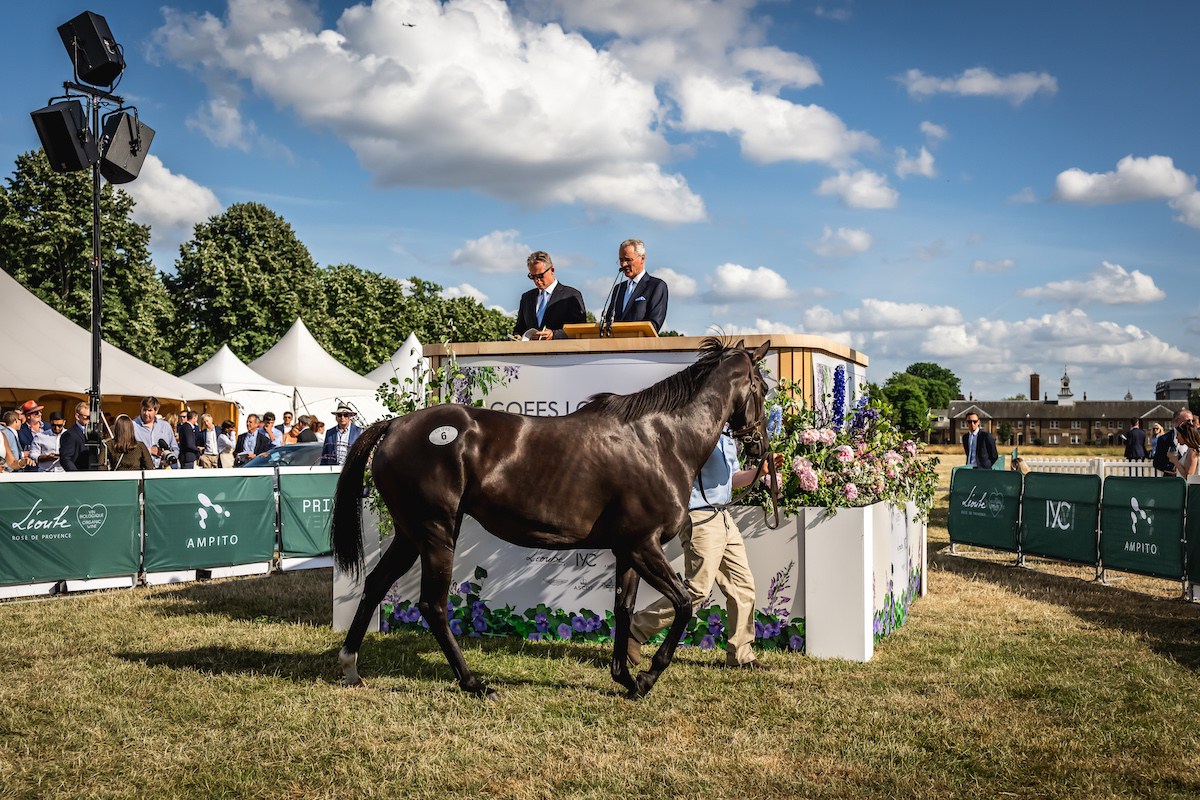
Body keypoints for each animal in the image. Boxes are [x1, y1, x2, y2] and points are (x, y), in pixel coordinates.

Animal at [333, 335, 772, 695]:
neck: (659, 440)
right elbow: (683, 604)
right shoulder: (644, 545)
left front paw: (625, 678)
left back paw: (351, 668)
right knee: (433, 606)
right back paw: (475, 684)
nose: (760, 449)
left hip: (410, 534)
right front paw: (648, 677)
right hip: (436, 532)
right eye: (764, 388)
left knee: (375, 585)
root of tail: (393, 426)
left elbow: (624, 609)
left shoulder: (628, 549)